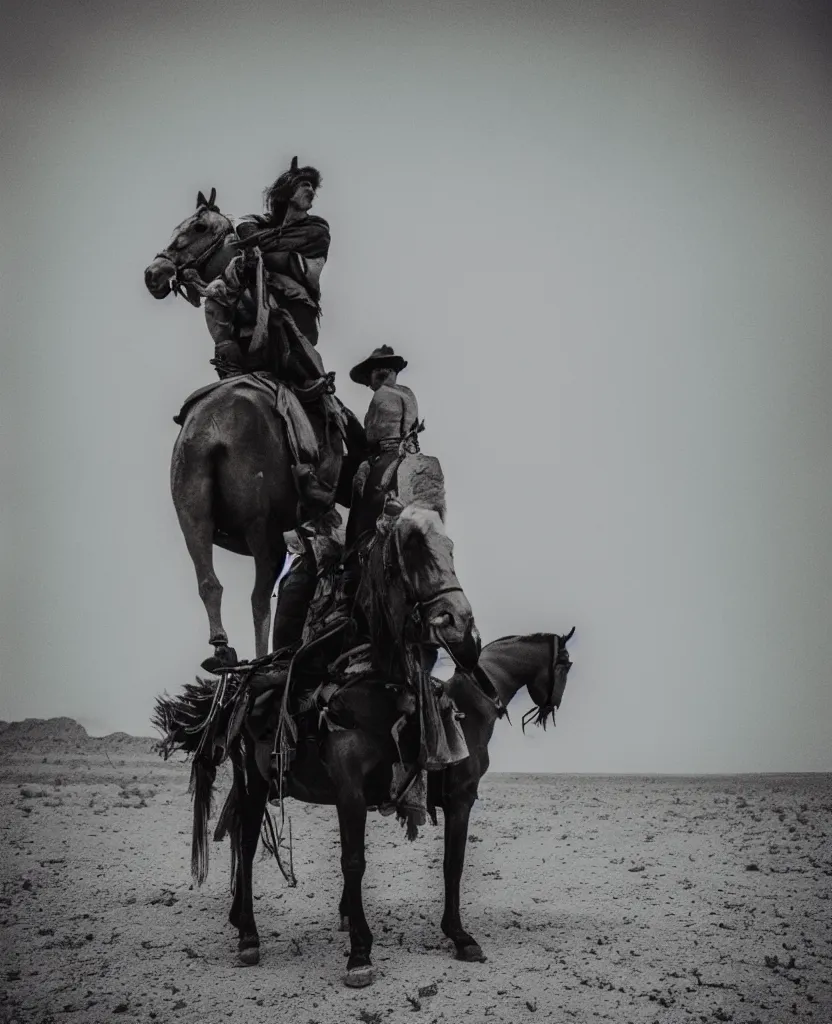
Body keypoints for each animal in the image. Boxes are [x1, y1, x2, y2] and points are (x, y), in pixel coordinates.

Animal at [143, 192, 350, 663]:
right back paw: (262, 656)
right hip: (263, 528)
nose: (154, 274)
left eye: (199, 226)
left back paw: (222, 651)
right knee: (259, 598)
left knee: (209, 583)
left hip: (192, 514)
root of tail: (210, 431)